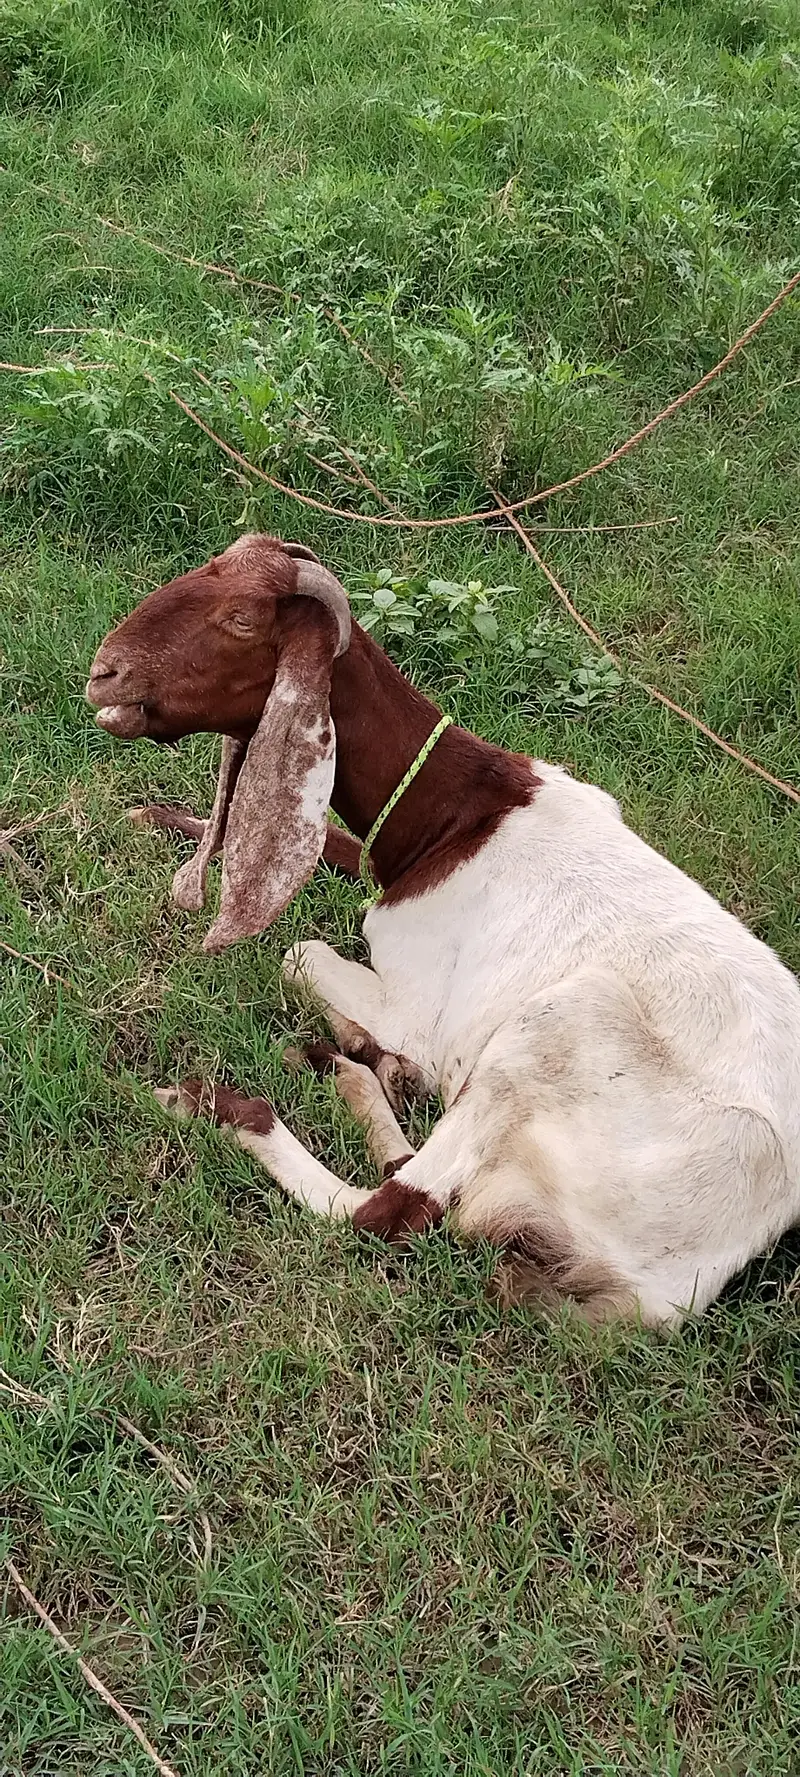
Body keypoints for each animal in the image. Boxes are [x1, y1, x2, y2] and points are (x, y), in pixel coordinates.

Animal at [86, 533, 800, 1326]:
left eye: (241, 619)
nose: (103, 673)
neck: (460, 814)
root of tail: (677, 1287)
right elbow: (334, 849)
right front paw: (155, 814)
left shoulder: (421, 1006)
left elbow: (300, 953)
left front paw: (375, 1047)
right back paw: (352, 1070)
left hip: (557, 1025)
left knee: (386, 1213)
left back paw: (223, 1104)